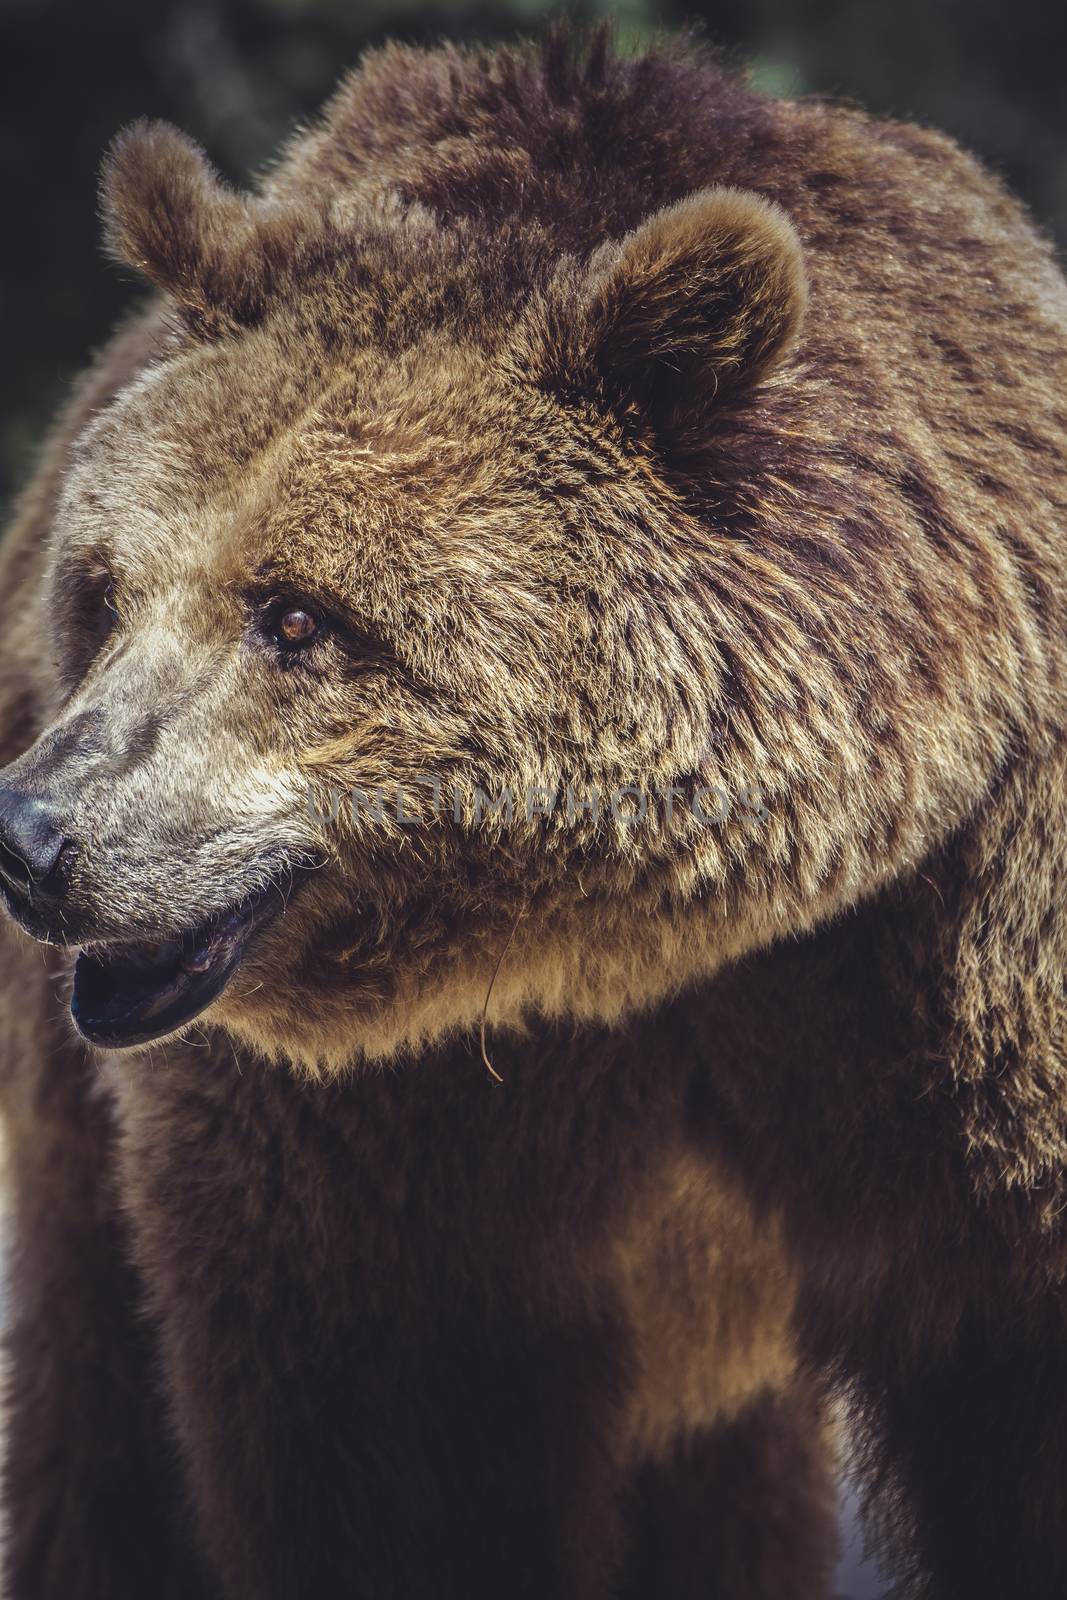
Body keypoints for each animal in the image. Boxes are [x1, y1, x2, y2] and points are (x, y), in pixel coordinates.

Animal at [2, 25, 1067, 1600]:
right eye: (109, 591)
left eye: (297, 616)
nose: (35, 835)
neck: (647, 945)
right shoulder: (378, 1141)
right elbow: (393, 1449)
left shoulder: (958, 966)